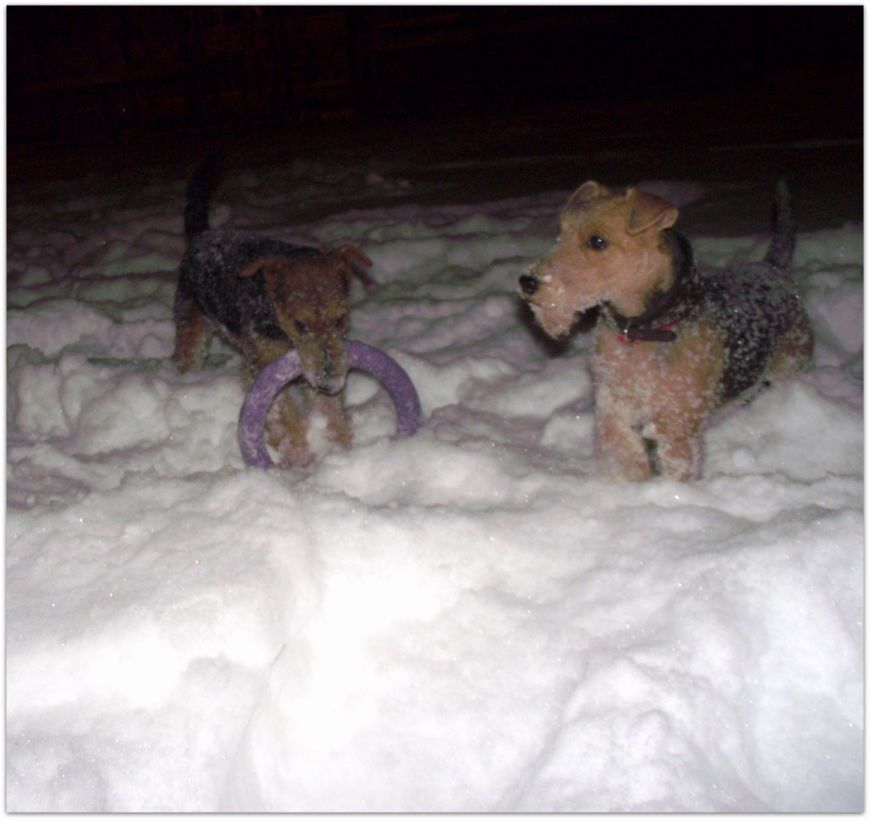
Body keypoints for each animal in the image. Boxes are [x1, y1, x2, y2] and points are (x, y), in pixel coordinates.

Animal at [172, 157, 374, 467]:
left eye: (341, 319)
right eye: (300, 324)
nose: (330, 384)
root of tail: (202, 235)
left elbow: (330, 410)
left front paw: (343, 446)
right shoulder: (261, 367)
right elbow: (284, 412)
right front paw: (300, 454)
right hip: (191, 321)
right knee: (187, 353)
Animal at [519, 180, 813, 481]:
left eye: (598, 241)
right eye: (562, 233)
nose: (528, 282)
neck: (640, 329)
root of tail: (773, 269)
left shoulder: (675, 424)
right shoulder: (615, 407)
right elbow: (624, 456)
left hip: (789, 365)